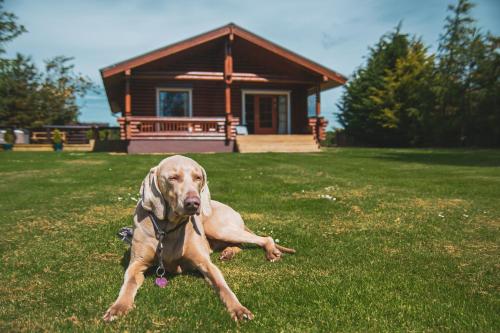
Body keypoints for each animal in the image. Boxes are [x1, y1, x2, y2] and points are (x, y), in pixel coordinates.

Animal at [103, 156, 294, 322]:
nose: (194, 203)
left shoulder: (205, 263)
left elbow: (223, 285)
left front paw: (238, 308)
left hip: (219, 228)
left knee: (264, 238)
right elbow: (128, 284)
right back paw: (228, 252)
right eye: (173, 178)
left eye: (198, 177)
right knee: (239, 243)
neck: (168, 228)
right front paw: (118, 307)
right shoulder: (136, 264)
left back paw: (271, 252)